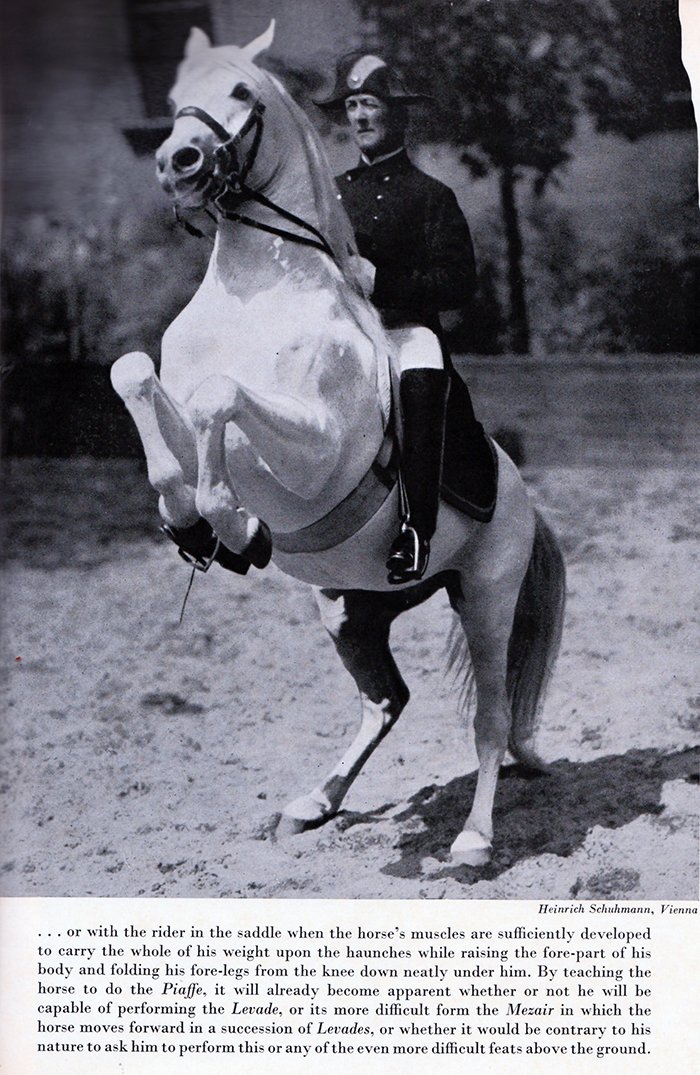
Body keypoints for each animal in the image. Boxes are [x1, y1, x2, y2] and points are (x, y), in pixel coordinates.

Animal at [110, 23, 567, 864]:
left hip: (487, 596)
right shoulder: (178, 409)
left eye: (242, 92)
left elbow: (223, 398)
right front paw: (189, 522)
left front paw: (230, 523)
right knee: (385, 699)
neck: (259, 291)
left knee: (488, 719)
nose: (177, 161)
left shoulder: (318, 450)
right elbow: (140, 379)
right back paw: (314, 802)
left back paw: (473, 839)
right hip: (350, 610)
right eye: (174, 95)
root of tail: (524, 495)